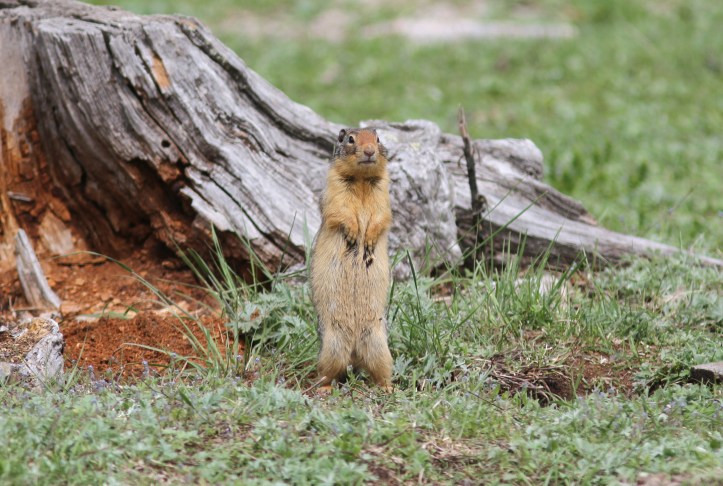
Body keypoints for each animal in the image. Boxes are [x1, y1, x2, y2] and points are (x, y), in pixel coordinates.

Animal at [310, 127, 393, 389]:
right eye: (349, 139)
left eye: (378, 138)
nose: (369, 151)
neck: (362, 179)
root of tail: (355, 350)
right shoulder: (334, 191)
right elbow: (339, 212)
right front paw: (354, 233)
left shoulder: (383, 194)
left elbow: (383, 216)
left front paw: (369, 239)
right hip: (333, 345)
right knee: (328, 372)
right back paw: (324, 388)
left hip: (379, 346)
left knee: (380, 371)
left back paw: (388, 388)